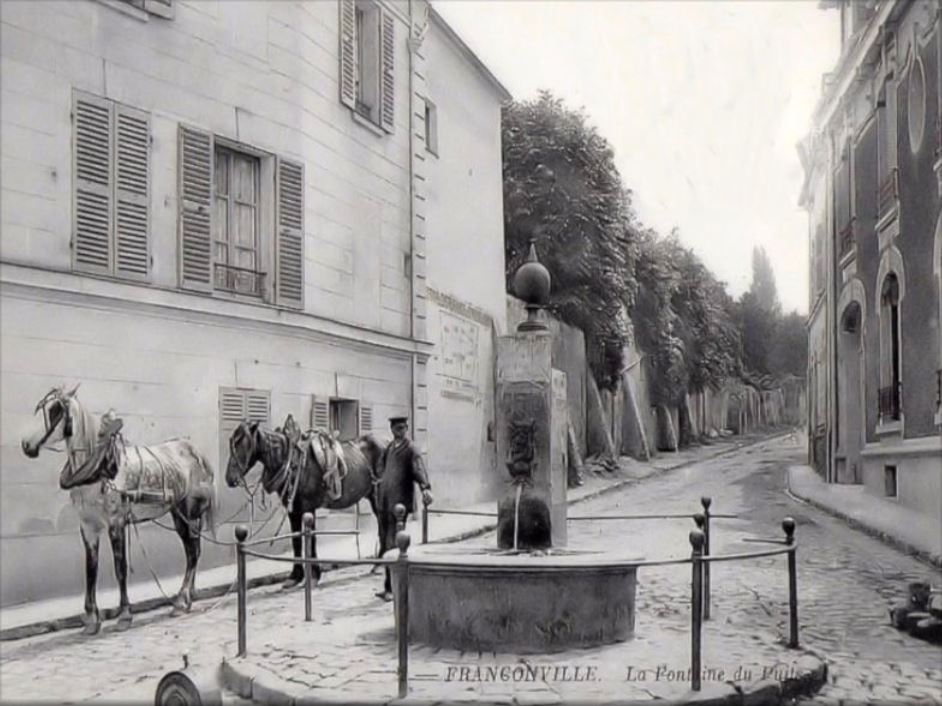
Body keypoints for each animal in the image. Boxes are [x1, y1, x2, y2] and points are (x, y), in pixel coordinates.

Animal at [21, 384, 217, 632]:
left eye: (56, 410)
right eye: (41, 408)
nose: (26, 445)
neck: (99, 469)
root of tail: (196, 452)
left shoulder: (116, 523)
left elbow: (120, 567)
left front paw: (124, 614)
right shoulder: (88, 527)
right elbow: (91, 570)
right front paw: (91, 619)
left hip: (189, 513)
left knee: (192, 553)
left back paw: (181, 601)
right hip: (179, 514)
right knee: (194, 551)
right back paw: (189, 597)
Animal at [225, 412, 384, 584]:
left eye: (241, 443)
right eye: (231, 442)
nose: (229, 478)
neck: (292, 463)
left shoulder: (308, 508)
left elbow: (311, 539)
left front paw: (314, 574)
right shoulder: (293, 510)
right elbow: (296, 540)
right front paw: (295, 576)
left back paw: (380, 564)